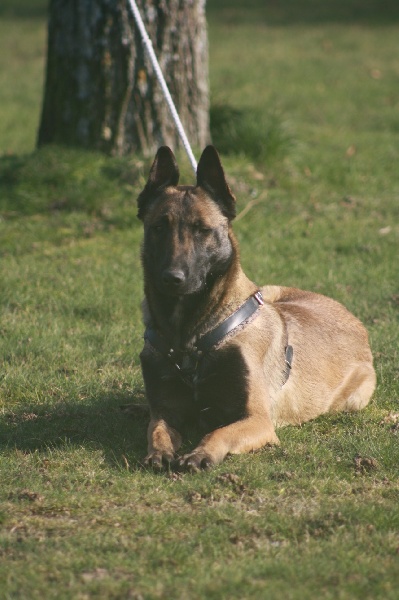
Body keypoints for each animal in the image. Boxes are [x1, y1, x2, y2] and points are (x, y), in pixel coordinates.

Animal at [136, 146, 376, 474]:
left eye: (202, 230)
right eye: (159, 228)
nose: (173, 278)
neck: (189, 336)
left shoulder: (257, 420)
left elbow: (219, 431)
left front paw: (201, 453)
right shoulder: (164, 410)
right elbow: (156, 429)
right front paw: (159, 452)